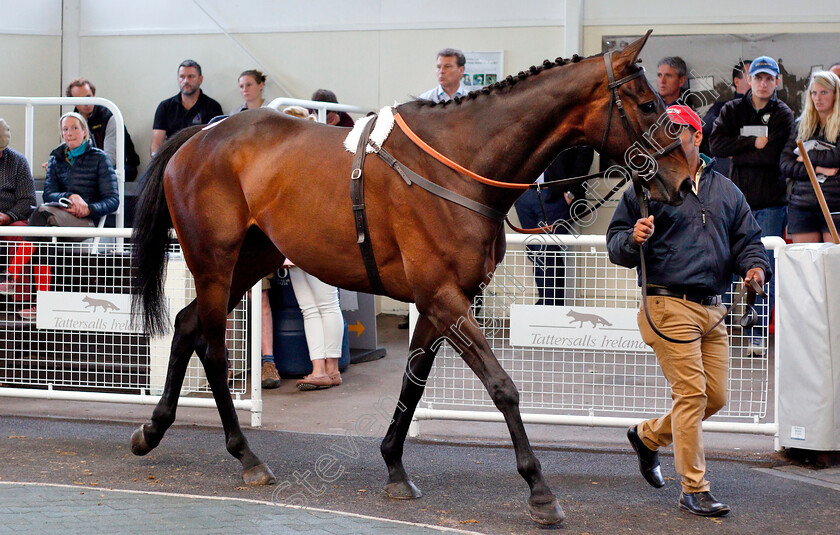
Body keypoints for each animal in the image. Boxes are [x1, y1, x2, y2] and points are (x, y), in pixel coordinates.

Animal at [131, 31, 692, 524]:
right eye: (647, 105)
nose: (685, 180)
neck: (459, 166)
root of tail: (202, 135)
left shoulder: (442, 300)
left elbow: (414, 381)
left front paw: (394, 465)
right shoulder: (444, 298)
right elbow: (501, 386)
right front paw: (539, 490)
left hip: (252, 260)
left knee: (186, 326)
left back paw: (154, 430)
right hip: (214, 262)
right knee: (211, 348)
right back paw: (245, 454)